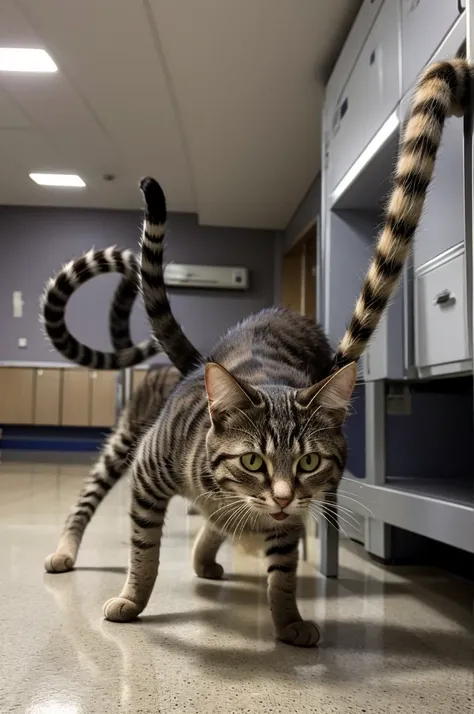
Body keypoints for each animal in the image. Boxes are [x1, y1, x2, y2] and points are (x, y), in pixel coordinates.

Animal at [43, 58, 470, 644]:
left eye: (309, 460)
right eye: (252, 459)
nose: (285, 495)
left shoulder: (292, 514)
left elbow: (283, 573)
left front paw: (288, 622)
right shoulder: (148, 473)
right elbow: (144, 552)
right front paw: (133, 600)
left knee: (221, 524)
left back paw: (207, 556)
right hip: (124, 444)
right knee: (89, 499)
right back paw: (67, 550)